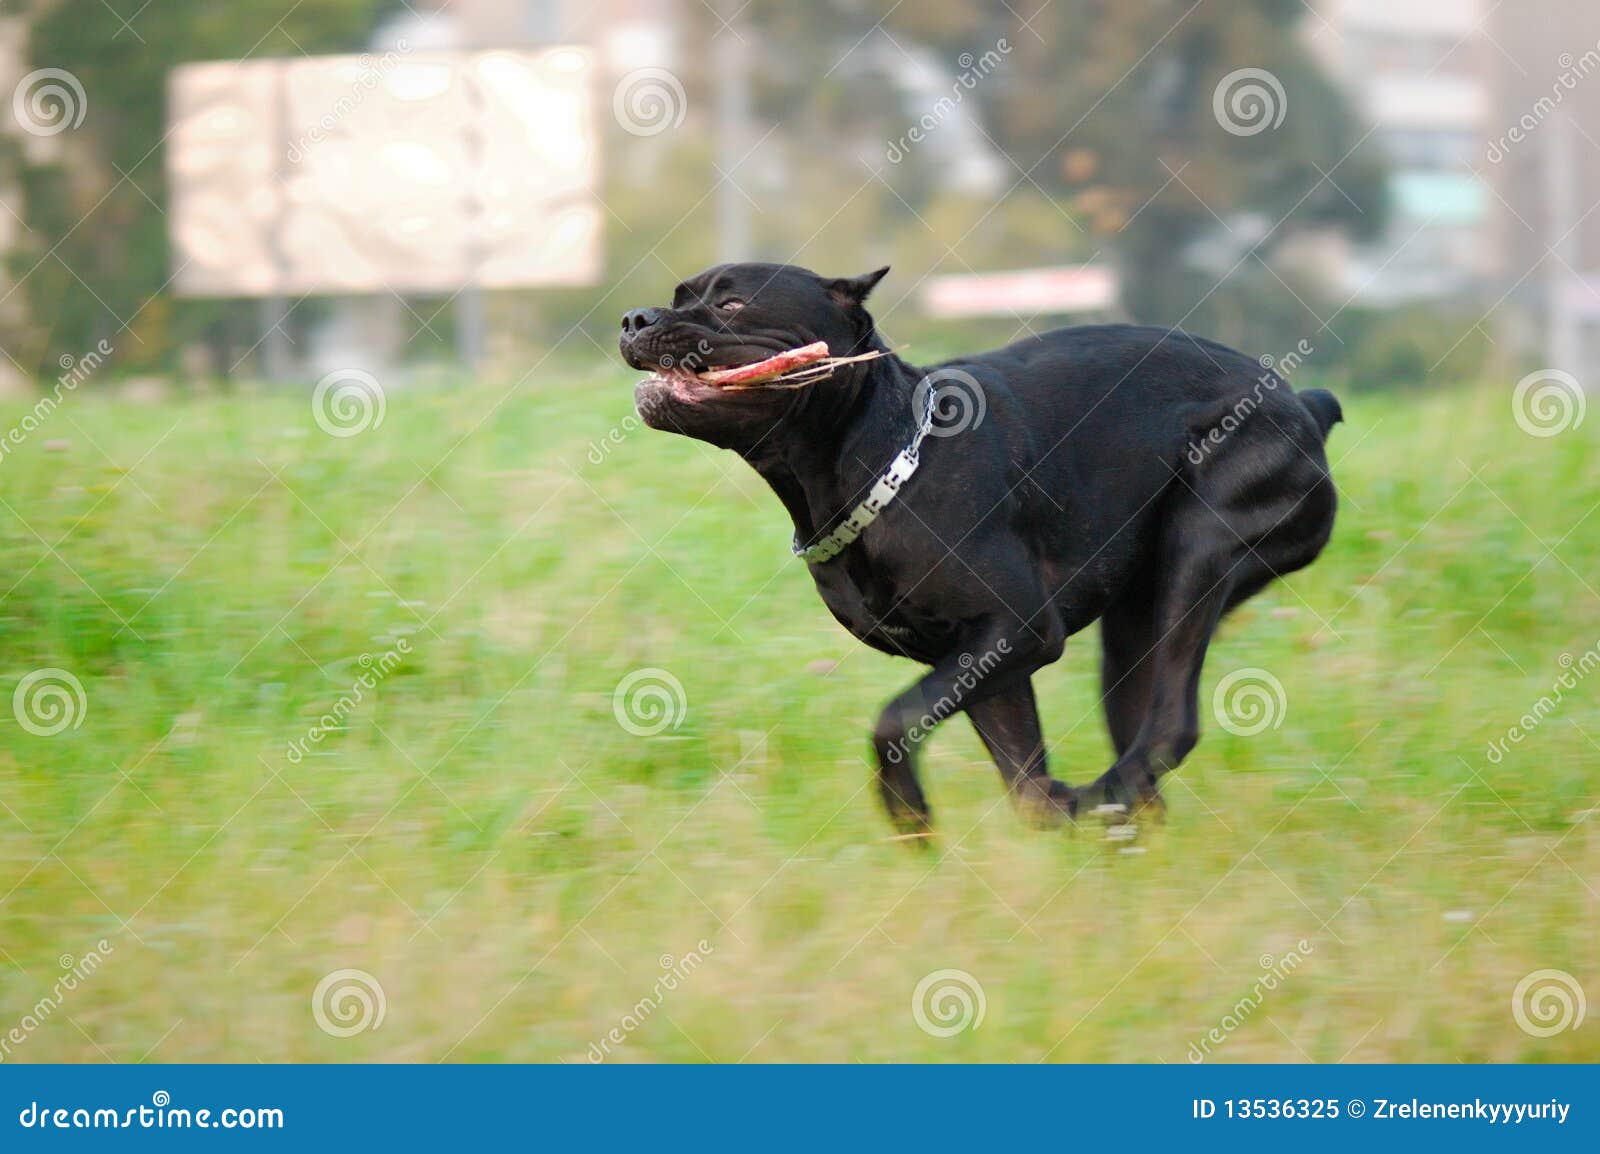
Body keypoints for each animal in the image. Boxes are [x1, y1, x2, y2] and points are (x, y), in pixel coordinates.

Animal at [620, 265, 1337, 832]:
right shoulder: (984, 665)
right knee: (1143, 743)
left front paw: (910, 817)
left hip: (1200, 547)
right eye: (678, 295)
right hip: (1134, 626)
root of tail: (1304, 403)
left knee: (1172, 723)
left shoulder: (1016, 631)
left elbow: (893, 720)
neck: (883, 454)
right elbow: (1023, 782)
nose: (633, 317)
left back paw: (1103, 798)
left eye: (733, 303)